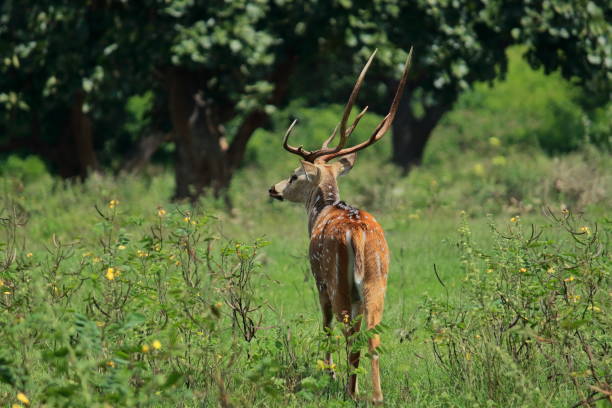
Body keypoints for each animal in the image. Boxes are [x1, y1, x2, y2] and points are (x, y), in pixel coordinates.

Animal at [268, 49, 412, 404]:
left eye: (294, 175)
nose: (273, 188)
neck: (324, 209)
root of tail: (356, 233)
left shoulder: (318, 278)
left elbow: (324, 322)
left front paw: (328, 371)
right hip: (377, 279)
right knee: (371, 333)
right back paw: (375, 395)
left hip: (337, 278)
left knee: (346, 327)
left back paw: (350, 389)